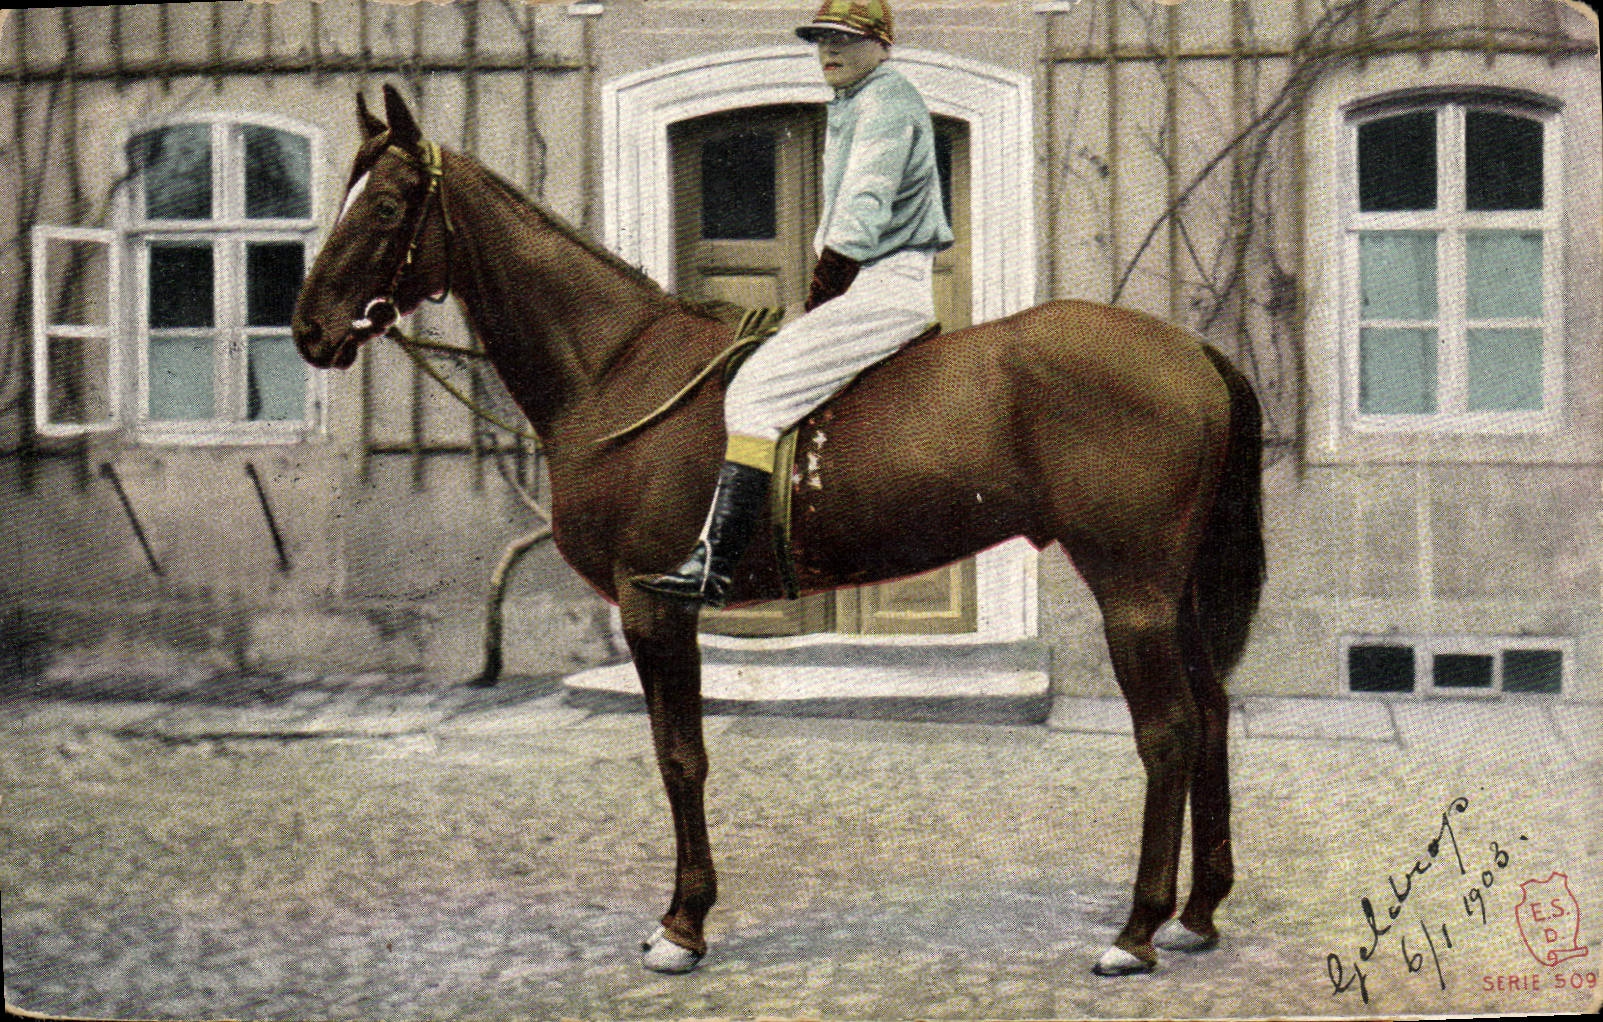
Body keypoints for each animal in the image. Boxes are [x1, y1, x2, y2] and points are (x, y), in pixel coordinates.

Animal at [292, 84, 1266, 978]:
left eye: (385, 207)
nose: (308, 329)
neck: (619, 368)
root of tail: (1190, 349)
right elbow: (677, 755)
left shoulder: (656, 610)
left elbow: (680, 758)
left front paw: (682, 926)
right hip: (1171, 593)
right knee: (1212, 714)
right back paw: (1197, 914)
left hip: (1130, 590)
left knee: (1169, 731)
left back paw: (1135, 932)